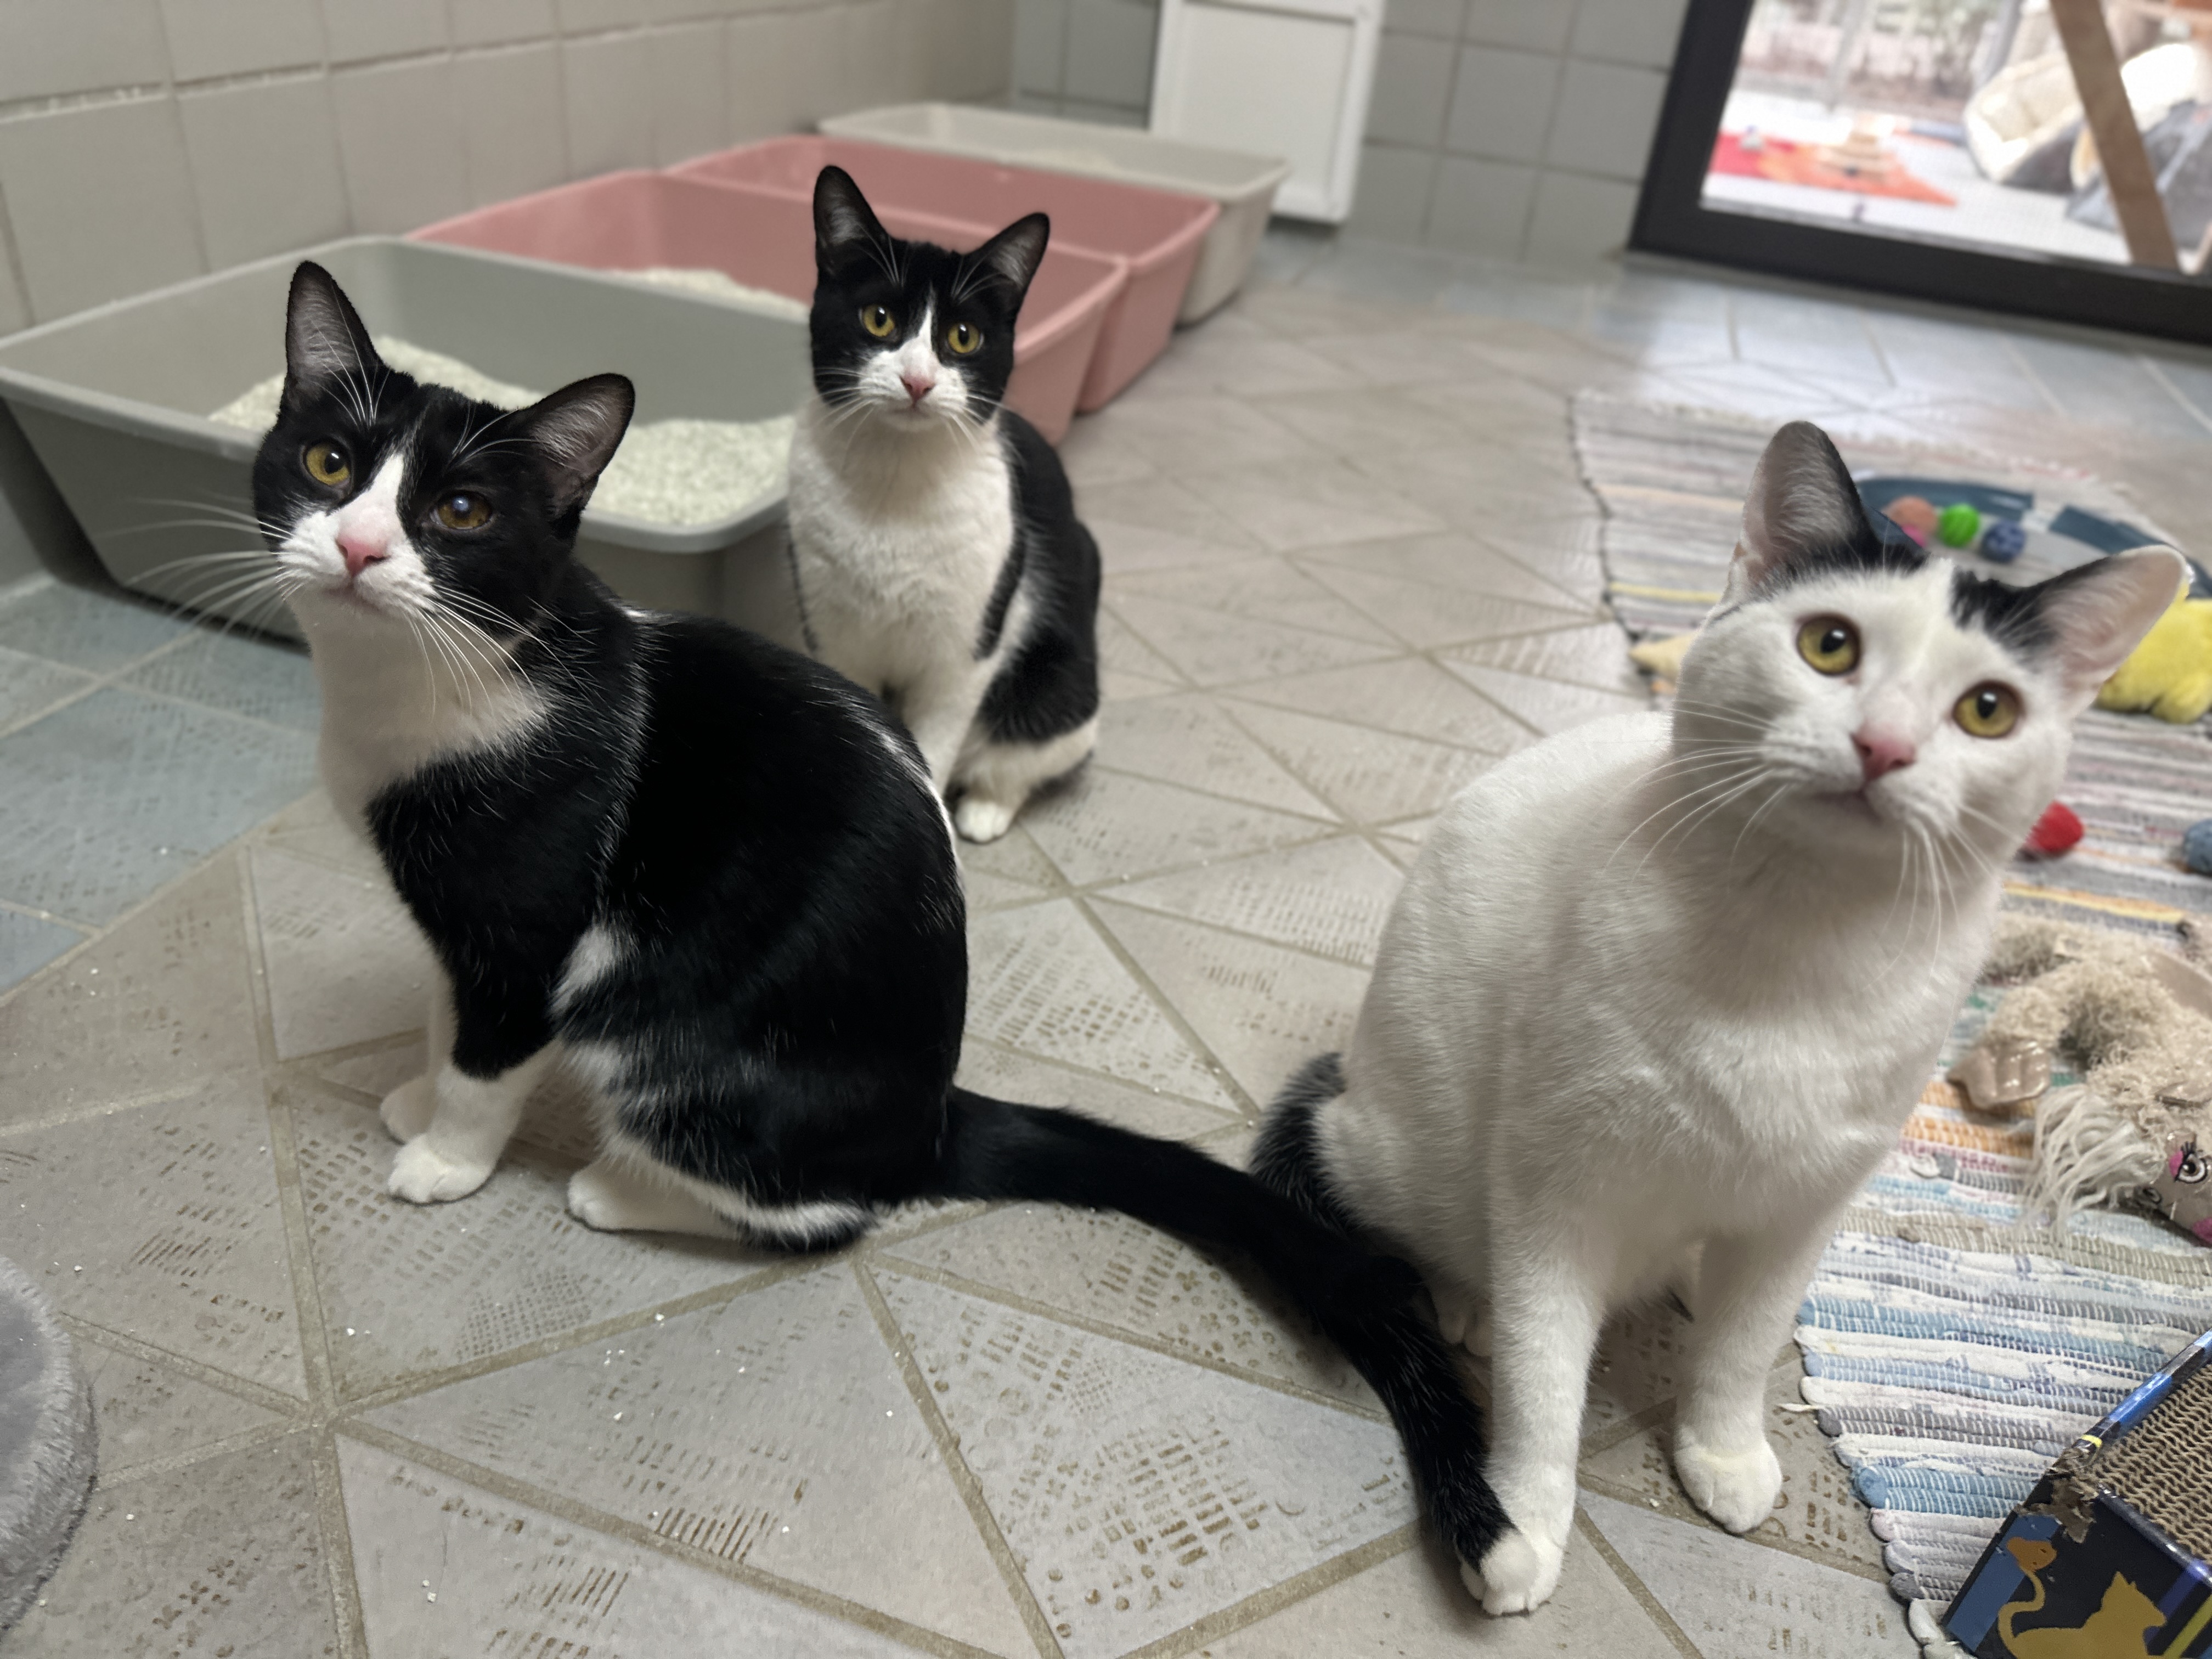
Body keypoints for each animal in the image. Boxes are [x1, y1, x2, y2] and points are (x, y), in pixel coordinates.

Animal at [250, 259, 1504, 1569]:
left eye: (461, 514)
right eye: (329, 464)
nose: (357, 545)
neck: (433, 684)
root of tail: (932, 1113)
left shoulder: (528, 925)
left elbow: (492, 1054)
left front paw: (445, 1156)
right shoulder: (455, 923)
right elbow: (445, 1016)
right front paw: (414, 1092)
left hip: (677, 1049)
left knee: (818, 1210)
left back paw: (622, 1191)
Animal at [783, 165, 1101, 844]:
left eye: (963, 336)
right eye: (879, 319)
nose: (918, 381)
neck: (894, 487)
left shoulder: (963, 656)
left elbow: (937, 744)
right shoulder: (834, 636)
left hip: (1062, 690)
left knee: (1025, 755)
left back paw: (985, 809)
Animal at [1253, 420, 2184, 1616]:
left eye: (1989, 709)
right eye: (1829, 645)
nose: (1884, 746)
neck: (1798, 942)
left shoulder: (1808, 1204)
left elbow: (1747, 1348)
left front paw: (1724, 1446)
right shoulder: (1555, 1190)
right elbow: (1544, 1375)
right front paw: (1525, 1516)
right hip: (1396, 1144)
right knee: (1439, 1232)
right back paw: (1466, 1295)